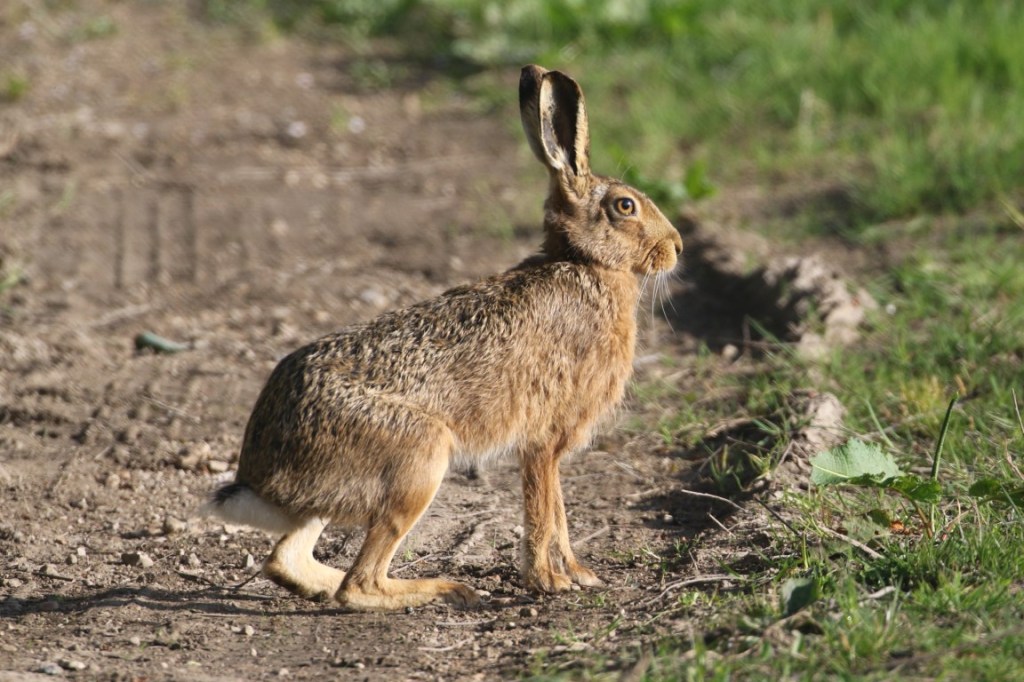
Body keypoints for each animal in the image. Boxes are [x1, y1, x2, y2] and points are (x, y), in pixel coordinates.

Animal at [202, 64, 683, 611]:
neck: (586, 263)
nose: (677, 248)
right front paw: (552, 582)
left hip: (339, 496)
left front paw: (579, 575)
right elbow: (545, 512)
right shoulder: (543, 441)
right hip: (419, 459)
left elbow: (557, 513)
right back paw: (446, 589)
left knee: (287, 559)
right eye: (625, 206)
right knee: (360, 584)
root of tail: (258, 478)